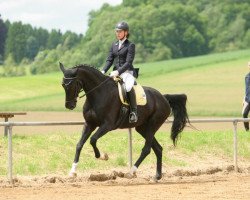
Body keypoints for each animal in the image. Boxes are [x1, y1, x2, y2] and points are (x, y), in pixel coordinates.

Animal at [60, 62, 189, 180]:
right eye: (63, 85)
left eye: (72, 84)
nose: (69, 106)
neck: (98, 93)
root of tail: (164, 98)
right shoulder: (89, 124)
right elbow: (79, 144)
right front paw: (72, 172)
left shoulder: (107, 125)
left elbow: (93, 139)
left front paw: (102, 156)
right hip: (143, 128)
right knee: (158, 148)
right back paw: (157, 176)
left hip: (152, 125)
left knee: (146, 149)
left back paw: (131, 172)